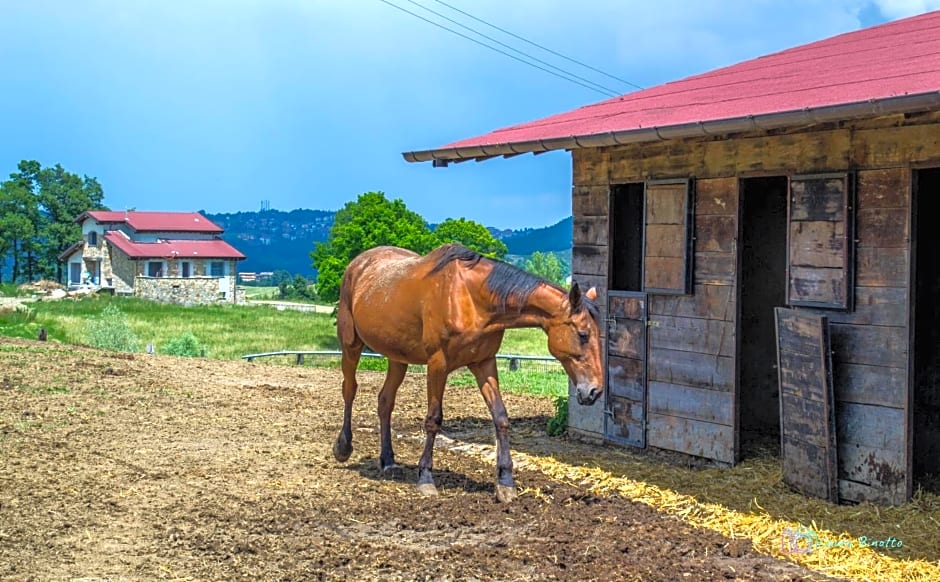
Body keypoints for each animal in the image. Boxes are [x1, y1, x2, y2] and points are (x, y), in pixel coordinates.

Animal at [334, 244, 604, 504]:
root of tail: (357, 264)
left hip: (398, 358)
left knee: (385, 401)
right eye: (583, 334)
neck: (471, 299)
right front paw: (425, 478)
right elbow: (433, 420)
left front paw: (505, 483)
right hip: (351, 345)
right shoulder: (437, 365)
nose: (594, 390)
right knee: (349, 389)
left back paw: (388, 460)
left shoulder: (484, 363)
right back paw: (343, 447)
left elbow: (501, 417)